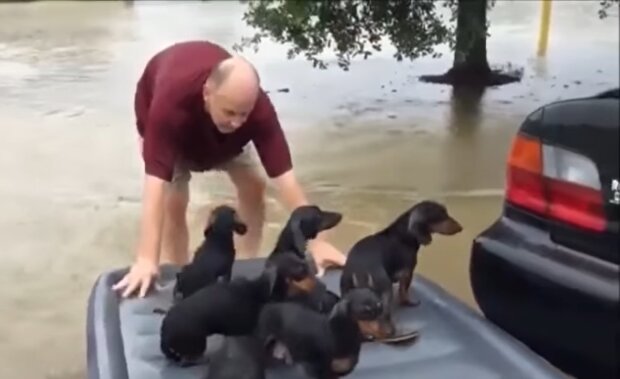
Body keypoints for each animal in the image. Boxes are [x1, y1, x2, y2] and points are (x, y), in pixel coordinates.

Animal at [160, 252, 318, 366]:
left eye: (297, 257)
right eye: (297, 267)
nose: (309, 262)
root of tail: (164, 331)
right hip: (198, 342)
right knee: (186, 360)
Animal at [340, 200, 460, 340]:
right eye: (442, 215)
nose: (461, 227)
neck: (405, 235)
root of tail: (359, 271)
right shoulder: (407, 273)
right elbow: (404, 292)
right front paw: (409, 303)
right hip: (384, 294)